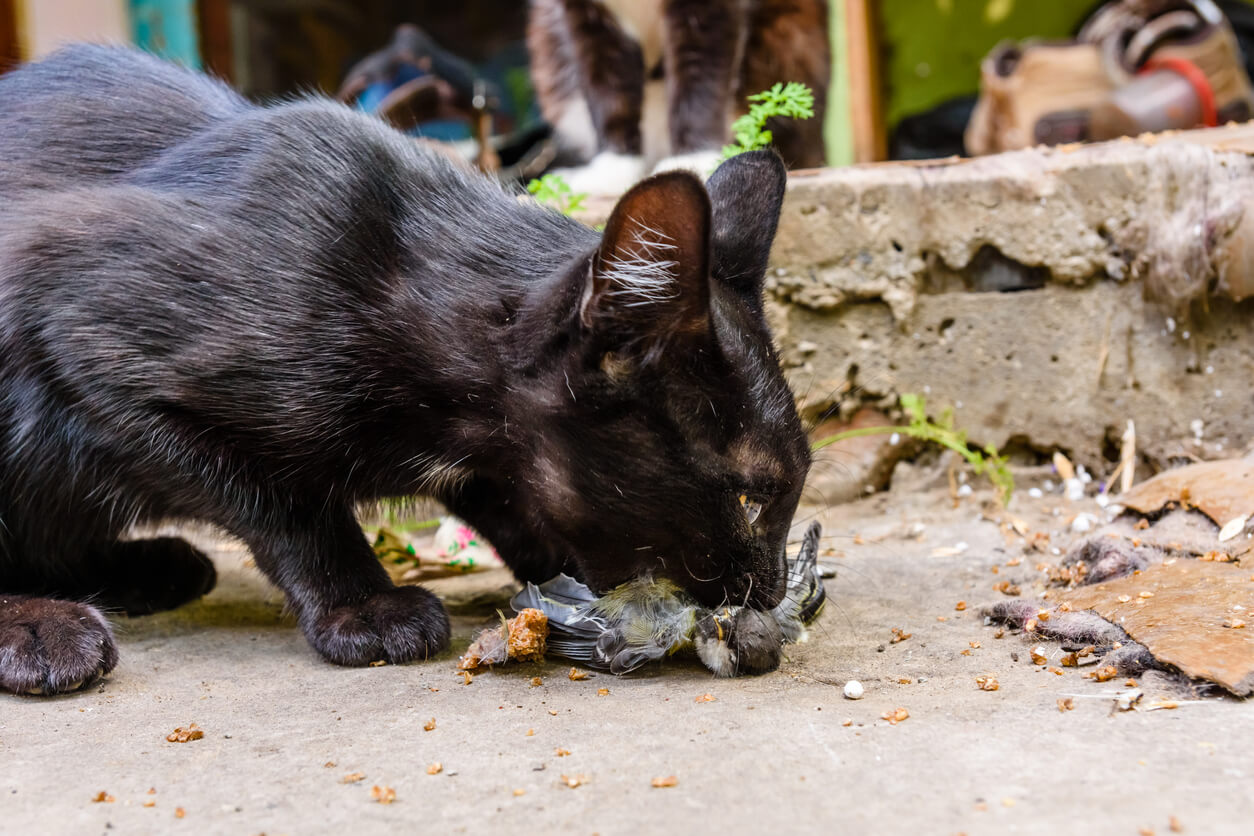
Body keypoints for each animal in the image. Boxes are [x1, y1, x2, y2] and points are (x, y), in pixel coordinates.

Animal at [0, 47, 807, 701]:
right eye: (750, 496)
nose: (770, 591)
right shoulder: (83, 340)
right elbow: (286, 503)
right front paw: (364, 606)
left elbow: (509, 493)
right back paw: (40, 628)